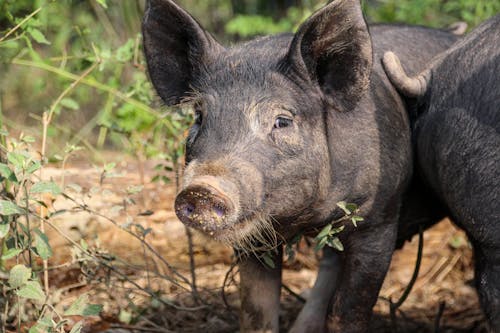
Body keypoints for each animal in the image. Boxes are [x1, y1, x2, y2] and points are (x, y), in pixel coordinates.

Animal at [143, 0, 458, 330]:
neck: (307, 220)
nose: (202, 189)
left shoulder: (380, 219)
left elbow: (347, 311)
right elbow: (257, 311)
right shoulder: (254, 239)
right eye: (199, 117)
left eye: (282, 121)